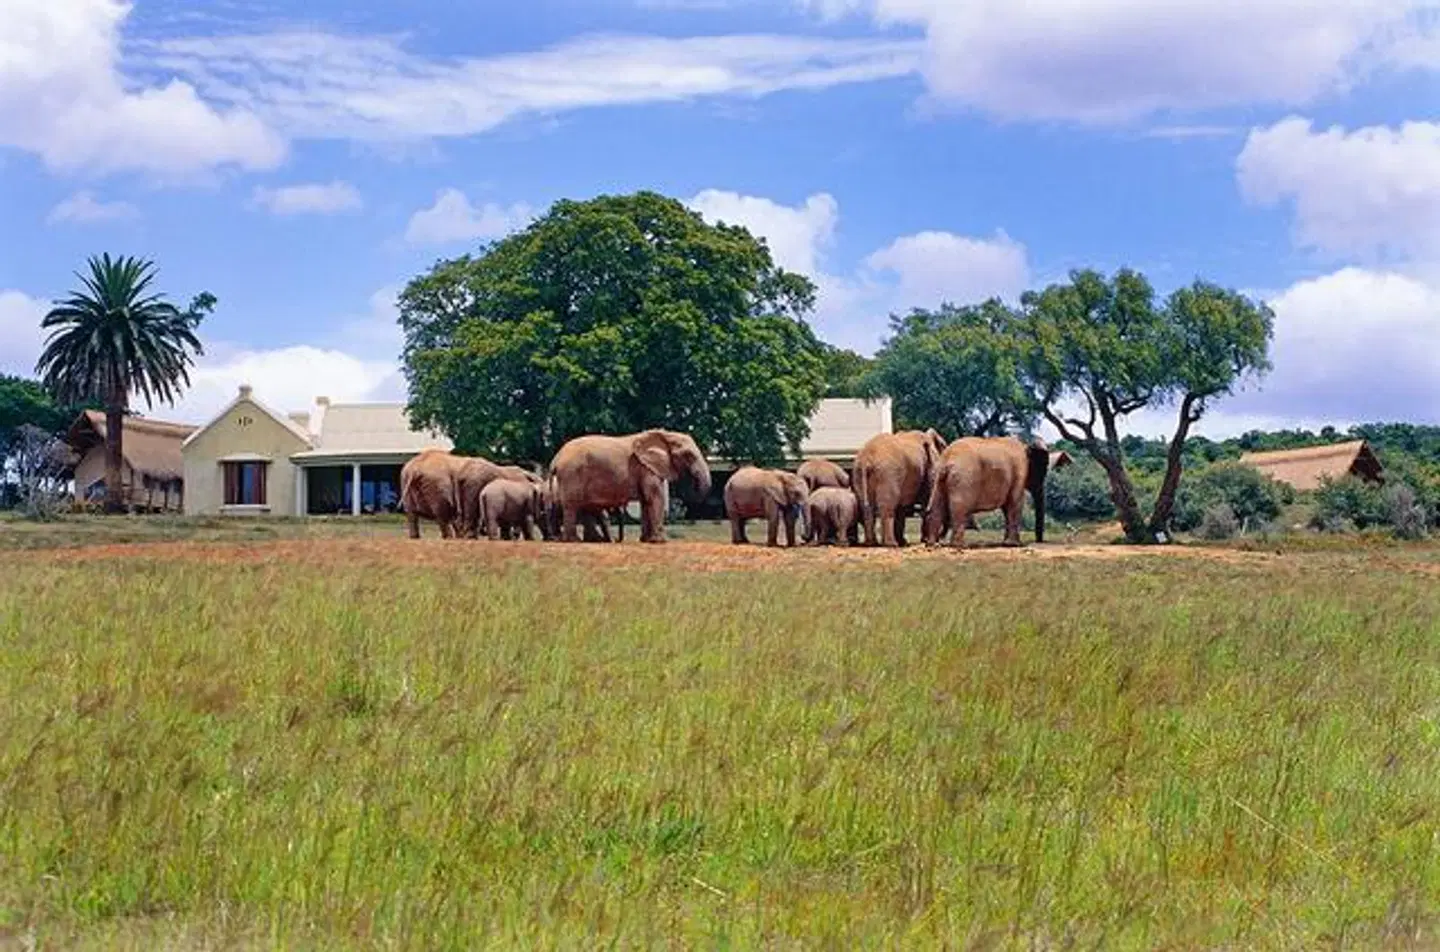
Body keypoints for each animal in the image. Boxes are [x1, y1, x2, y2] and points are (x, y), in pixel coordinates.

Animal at [549, 429, 711, 543]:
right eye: (689, 455)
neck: (665, 435)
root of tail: (556, 458)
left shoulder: (645, 468)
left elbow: (646, 500)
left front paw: (646, 541)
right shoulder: (646, 468)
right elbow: (655, 497)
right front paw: (660, 541)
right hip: (572, 473)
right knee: (572, 505)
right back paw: (573, 540)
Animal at [921, 436, 1053, 548]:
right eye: (1043, 468)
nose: (1038, 541)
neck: (1026, 446)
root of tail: (947, 461)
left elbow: (1007, 507)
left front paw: (1007, 543)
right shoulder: (1020, 472)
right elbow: (1015, 504)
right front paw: (1014, 545)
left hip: (938, 478)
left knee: (936, 506)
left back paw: (932, 544)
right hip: (964, 479)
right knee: (960, 509)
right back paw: (959, 546)